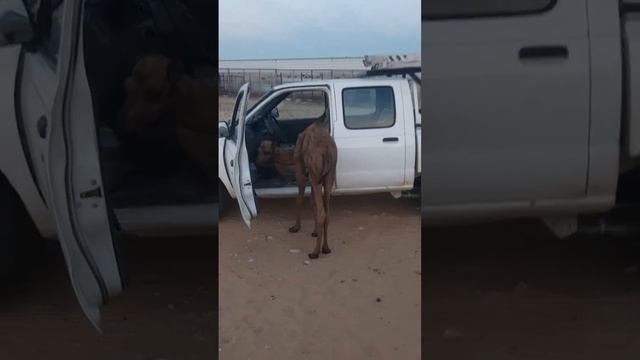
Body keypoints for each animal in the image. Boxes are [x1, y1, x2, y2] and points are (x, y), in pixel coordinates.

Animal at [288, 121, 338, 258]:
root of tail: (326, 151)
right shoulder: (315, 177)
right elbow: (312, 202)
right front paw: (315, 231)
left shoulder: (301, 169)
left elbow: (299, 199)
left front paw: (295, 227)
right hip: (329, 175)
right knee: (327, 213)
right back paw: (326, 248)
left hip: (314, 174)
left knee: (322, 213)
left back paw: (315, 252)